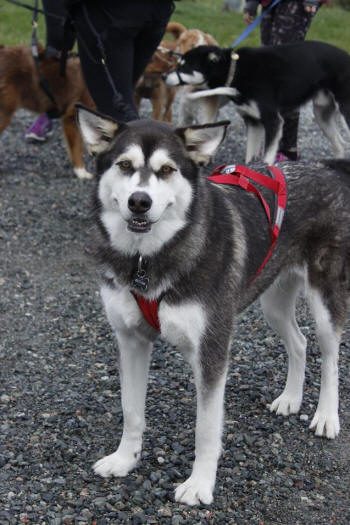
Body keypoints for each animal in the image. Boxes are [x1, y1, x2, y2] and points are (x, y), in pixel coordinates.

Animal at [76, 104, 350, 506]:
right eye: (125, 165)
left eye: (167, 170)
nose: (139, 201)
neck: (147, 261)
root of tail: (325, 166)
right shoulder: (130, 341)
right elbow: (131, 410)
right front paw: (125, 459)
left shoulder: (211, 350)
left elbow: (206, 428)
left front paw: (200, 484)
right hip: (272, 301)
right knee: (299, 343)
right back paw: (290, 398)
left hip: (325, 300)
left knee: (330, 358)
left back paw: (327, 416)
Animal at [165, 41, 350, 163]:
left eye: (184, 66)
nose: (163, 76)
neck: (235, 70)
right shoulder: (253, 122)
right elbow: (249, 158)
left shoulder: (273, 121)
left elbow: (267, 159)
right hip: (322, 115)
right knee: (340, 145)